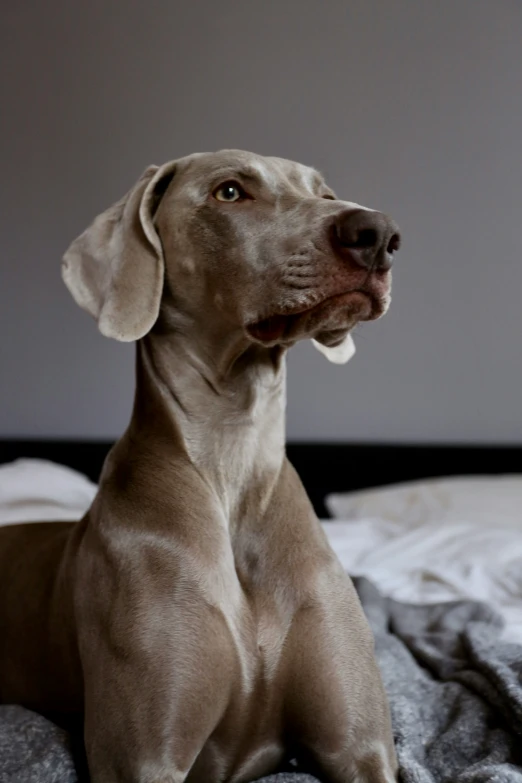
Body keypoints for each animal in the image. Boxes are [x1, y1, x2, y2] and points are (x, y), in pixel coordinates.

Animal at [0, 150, 398, 780]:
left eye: (325, 192)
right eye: (229, 191)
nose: (377, 233)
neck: (231, 461)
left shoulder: (363, 749)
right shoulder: (143, 760)